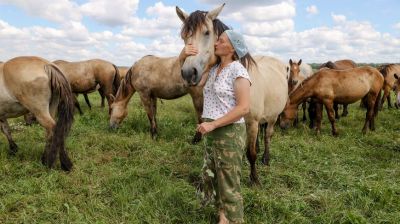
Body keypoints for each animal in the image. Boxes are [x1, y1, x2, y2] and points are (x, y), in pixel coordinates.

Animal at [177, 4, 288, 184]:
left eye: (207, 32)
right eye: (184, 36)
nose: (188, 73)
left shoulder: (252, 122)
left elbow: (251, 153)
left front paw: (254, 179)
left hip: (273, 117)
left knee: (268, 136)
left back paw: (266, 158)